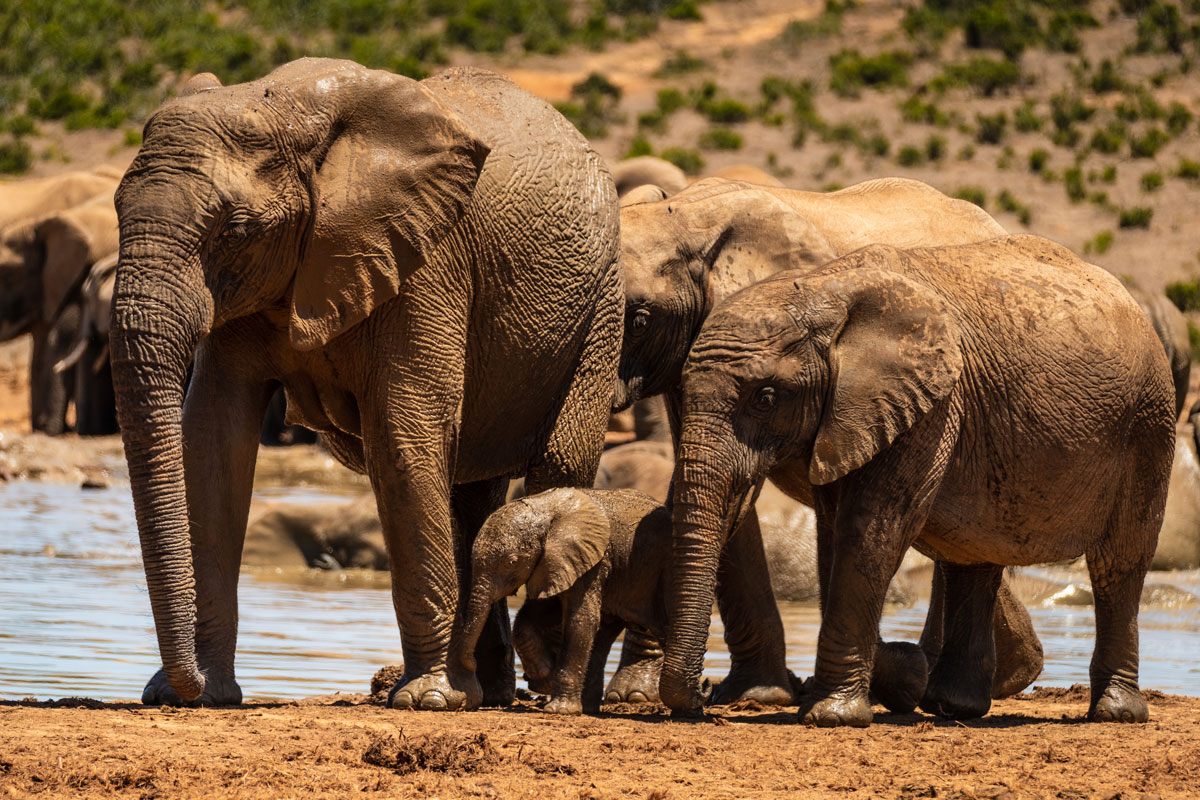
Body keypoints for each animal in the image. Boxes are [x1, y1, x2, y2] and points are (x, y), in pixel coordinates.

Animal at [110, 58, 622, 710]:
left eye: (235, 229)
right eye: (117, 209)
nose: (180, 686)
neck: (283, 111)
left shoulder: (427, 260)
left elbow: (404, 436)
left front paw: (426, 701)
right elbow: (214, 442)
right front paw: (204, 695)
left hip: (600, 304)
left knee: (557, 465)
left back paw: (522, 694)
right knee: (471, 492)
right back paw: (485, 692)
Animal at [457, 487, 672, 715]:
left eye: (512, 562)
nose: (473, 663)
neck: (546, 507)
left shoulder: (593, 560)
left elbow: (581, 620)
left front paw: (558, 709)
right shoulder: (553, 563)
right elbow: (538, 613)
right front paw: (544, 676)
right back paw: (588, 707)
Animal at [662, 235, 1175, 726]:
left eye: (765, 397)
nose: (704, 694)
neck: (822, 289)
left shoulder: (930, 402)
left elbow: (871, 532)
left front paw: (833, 716)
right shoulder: (849, 417)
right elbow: (834, 535)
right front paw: (895, 678)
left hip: (1149, 423)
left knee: (1120, 563)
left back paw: (1116, 713)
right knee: (974, 554)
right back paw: (953, 705)